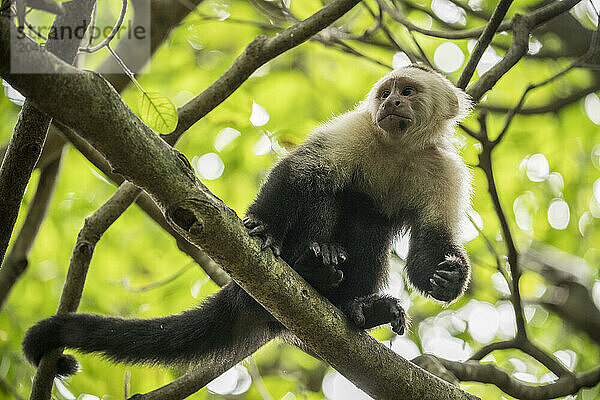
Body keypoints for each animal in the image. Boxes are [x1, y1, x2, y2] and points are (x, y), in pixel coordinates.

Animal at [23, 65, 474, 378]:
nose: (391, 103)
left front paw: (448, 277)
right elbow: (300, 173)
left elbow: (429, 246)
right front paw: (263, 227)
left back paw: (356, 308)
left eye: (408, 91)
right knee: (329, 194)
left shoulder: (444, 170)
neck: (399, 148)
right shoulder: (357, 129)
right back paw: (312, 265)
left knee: (371, 224)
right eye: (386, 92)